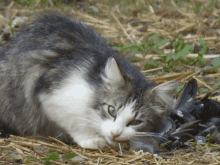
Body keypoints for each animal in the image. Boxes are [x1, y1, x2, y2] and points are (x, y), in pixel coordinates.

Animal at [0, 14, 177, 150]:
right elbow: (73, 121)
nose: (116, 133)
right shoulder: (52, 94)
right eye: (111, 110)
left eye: (136, 122)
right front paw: (90, 139)